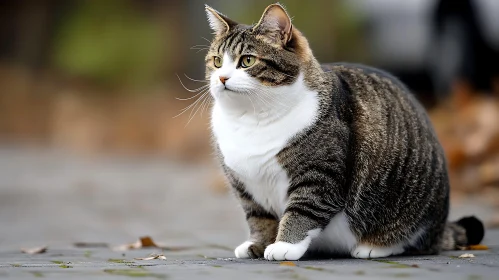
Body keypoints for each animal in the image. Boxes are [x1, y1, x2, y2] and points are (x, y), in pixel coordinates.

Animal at [204, 2, 484, 260]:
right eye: (216, 62)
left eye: (247, 61)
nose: (222, 78)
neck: (250, 118)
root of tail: (441, 228)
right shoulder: (246, 189)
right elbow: (259, 218)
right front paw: (259, 244)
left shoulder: (319, 178)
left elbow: (301, 212)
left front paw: (285, 245)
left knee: (412, 239)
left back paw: (374, 247)